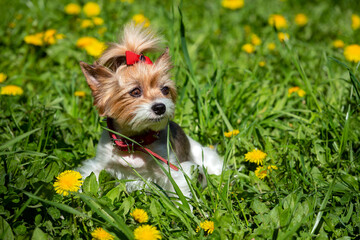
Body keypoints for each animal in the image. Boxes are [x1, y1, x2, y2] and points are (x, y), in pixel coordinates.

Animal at [78, 23, 222, 199]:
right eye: (135, 91)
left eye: (165, 89)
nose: (160, 107)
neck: (135, 142)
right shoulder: (100, 164)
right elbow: (90, 179)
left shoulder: (173, 170)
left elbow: (179, 192)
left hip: (205, 157)